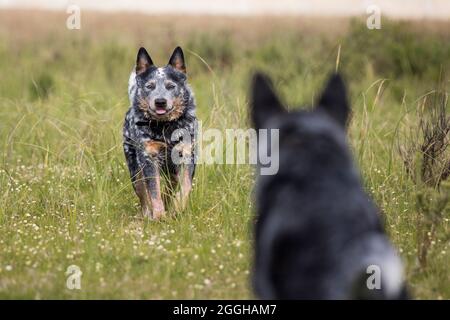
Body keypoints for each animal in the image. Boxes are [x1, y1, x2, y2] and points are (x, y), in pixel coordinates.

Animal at [123, 46, 195, 219]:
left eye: (170, 86)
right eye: (150, 86)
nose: (160, 101)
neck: (165, 127)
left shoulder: (186, 155)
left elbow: (186, 185)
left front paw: (178, 207)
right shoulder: (149, 158)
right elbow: (153, 191)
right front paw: (158, 214)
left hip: (172, 172)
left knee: (170, 188)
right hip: (134, 169)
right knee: (143, 192)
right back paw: (147, 214)